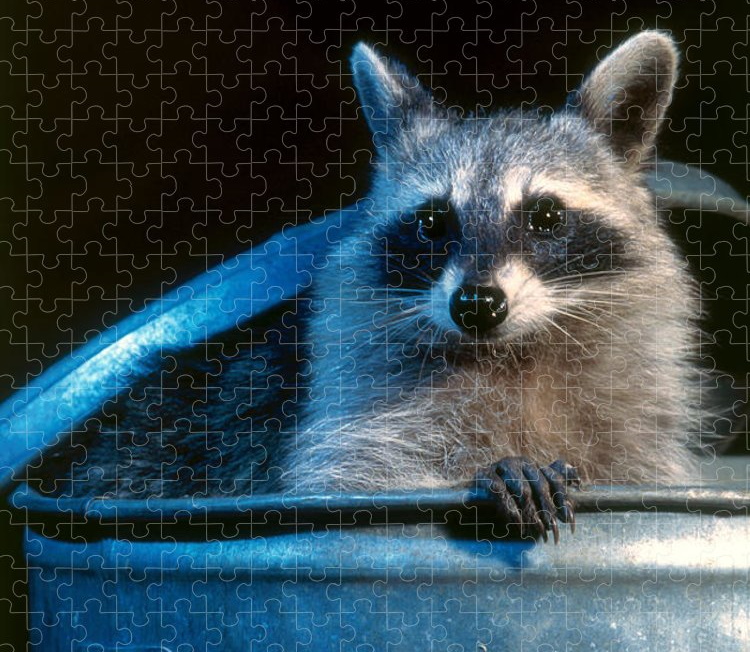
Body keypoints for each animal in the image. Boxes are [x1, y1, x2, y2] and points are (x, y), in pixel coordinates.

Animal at [35, 32, 701, 542]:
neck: (513, 349)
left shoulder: (629, 418)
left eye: (544, 216)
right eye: (433, 221)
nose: (477, 305)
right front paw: (493, 468)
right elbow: (354, 479)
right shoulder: (351, 401)